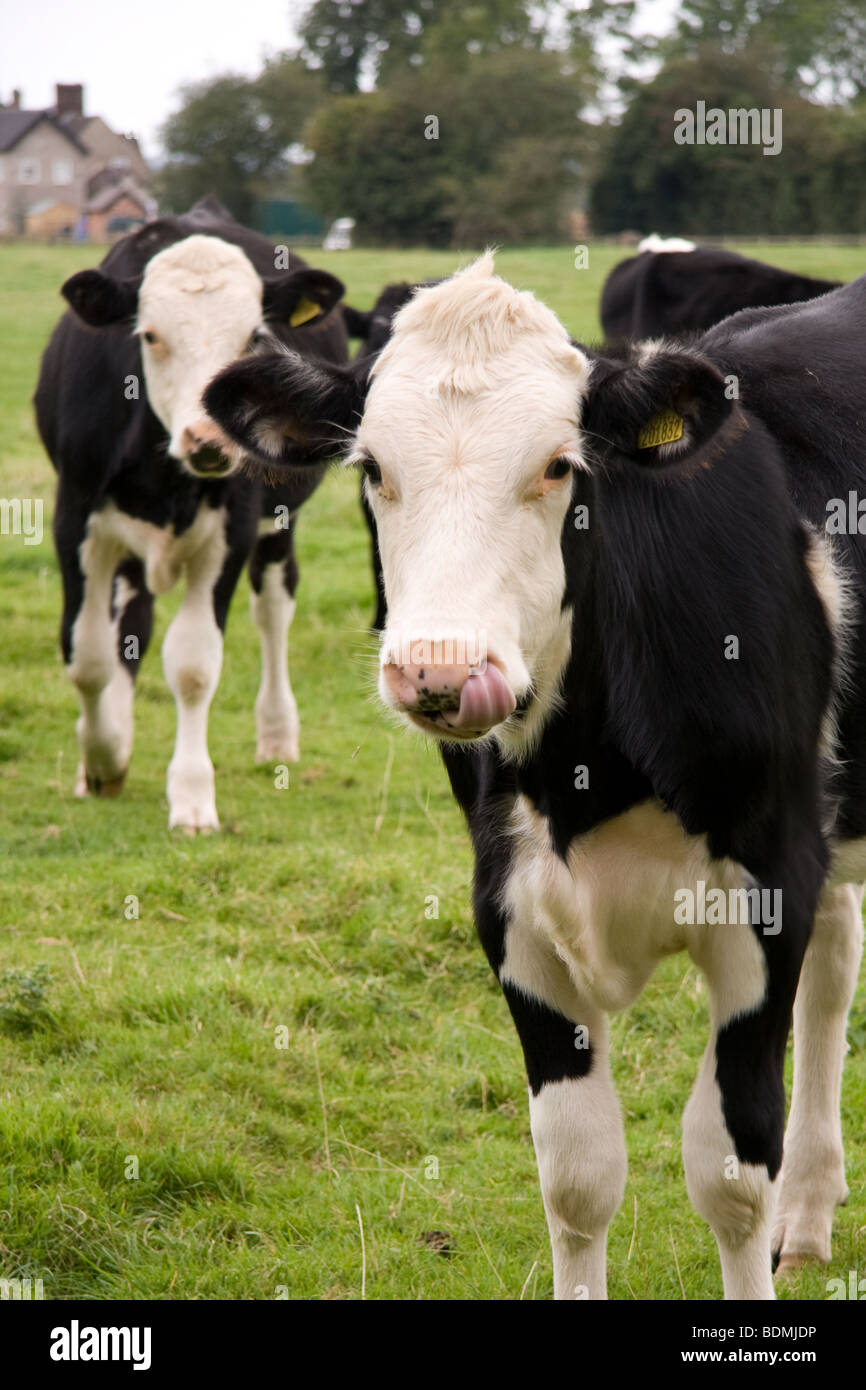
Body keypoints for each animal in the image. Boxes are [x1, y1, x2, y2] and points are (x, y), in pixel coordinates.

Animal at [208, 252, 866, 1301]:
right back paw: (808, 1214)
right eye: (372, 468)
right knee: (838, 962)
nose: (439, 670)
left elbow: (728, 1171)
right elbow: (577, 1174)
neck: (587, 777)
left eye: (561, 466)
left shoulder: (768, 890)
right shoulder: (510, 908)